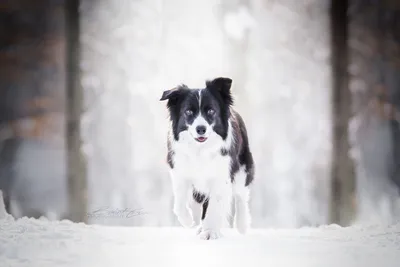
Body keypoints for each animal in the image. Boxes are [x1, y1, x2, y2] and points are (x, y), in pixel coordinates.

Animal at [159, 77, 253, 241]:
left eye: (211, 111)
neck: (200, 149)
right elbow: (179, 202)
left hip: (243, 168)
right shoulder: (179, 171)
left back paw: (241, 225)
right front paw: (188, 221)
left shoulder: (221, 175)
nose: (201, 129)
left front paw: (209, 231)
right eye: (188, 111)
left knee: (241, 196)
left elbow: (215, 205)